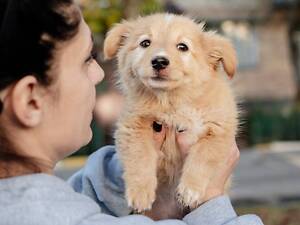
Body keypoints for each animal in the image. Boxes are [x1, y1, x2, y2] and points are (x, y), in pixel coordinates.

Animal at [104, 12, 238, 220]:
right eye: (145, 43)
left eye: (182, 47)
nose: (159, 61)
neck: (170, 103)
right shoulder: (133, 126)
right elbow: (139, 157)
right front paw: (140, 193)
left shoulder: (218, 130)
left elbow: (202, 156)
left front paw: (190, 190)